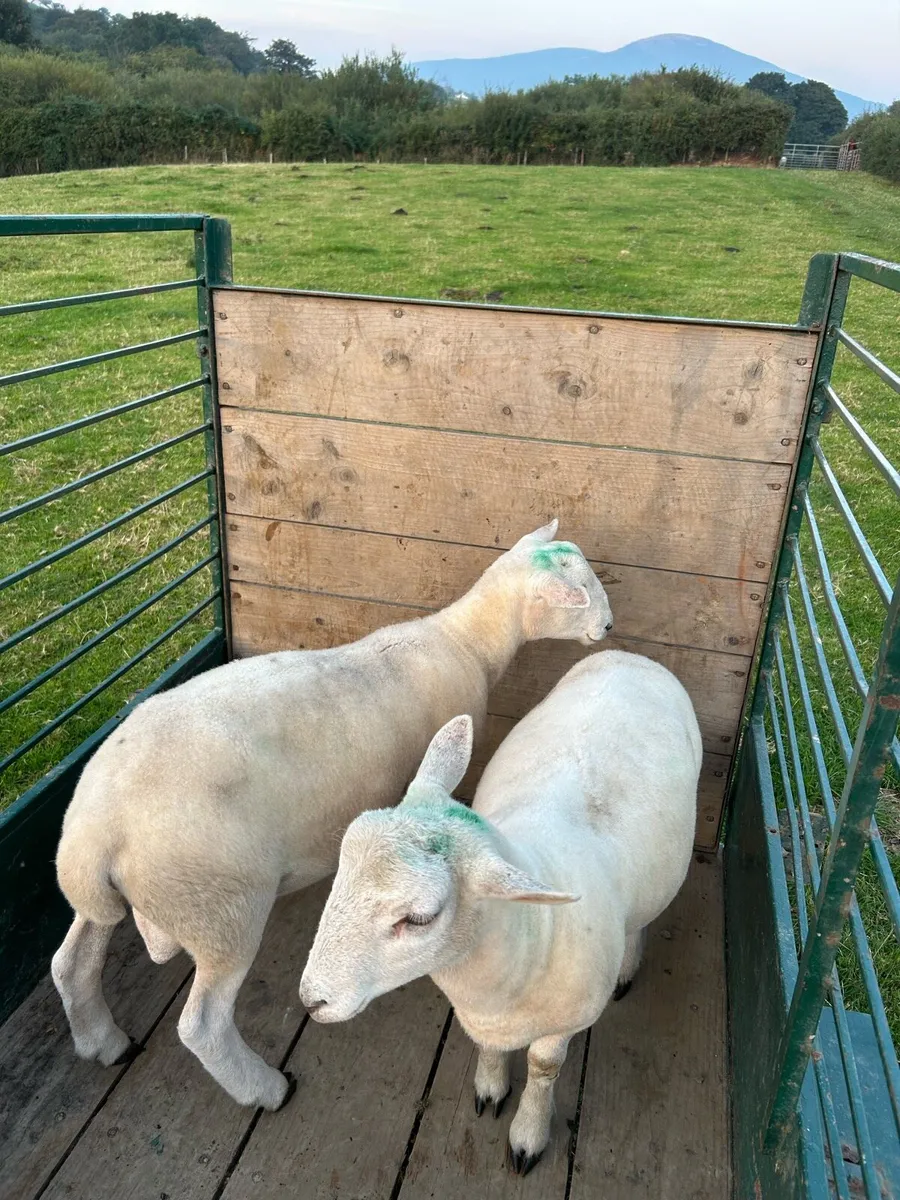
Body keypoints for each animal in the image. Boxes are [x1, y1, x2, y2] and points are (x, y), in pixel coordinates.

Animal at [51, 519, 613, 1112]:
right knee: (202, 1025)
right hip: (220, 907)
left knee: (71, 962)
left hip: (114, 898)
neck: (465, 641)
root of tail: (93, 837)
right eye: (578, 591)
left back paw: (102, 1041)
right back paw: (264, 1088)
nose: (608, 625)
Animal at [299, 649, 701, 1174]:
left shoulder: (566, 1022)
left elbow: (544, 1068)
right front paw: (490, 1088)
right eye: (341, 869)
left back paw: (629, 965)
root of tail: (632, 656)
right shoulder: (485, 1016)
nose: (311, 1001)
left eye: (420, 918)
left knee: (643, 920)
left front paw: (528, 1133)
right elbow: (488, 1048)